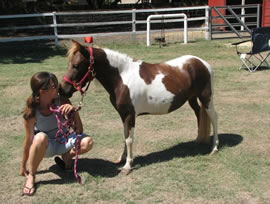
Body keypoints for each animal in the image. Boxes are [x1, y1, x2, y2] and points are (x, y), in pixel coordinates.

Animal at [59, 40, 217, 175]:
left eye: (76, 65)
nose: (62, 89)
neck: (122, 78)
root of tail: (203, 63)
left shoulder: (130, 115)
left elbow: (129, 139)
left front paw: (127, 166)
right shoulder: (123, 115)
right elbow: (125, 135)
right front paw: (122, 158)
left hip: (206, 98)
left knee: (214, 118)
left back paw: (214, 148)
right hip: (192, 99)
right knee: (198, 114)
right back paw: (198, 140)